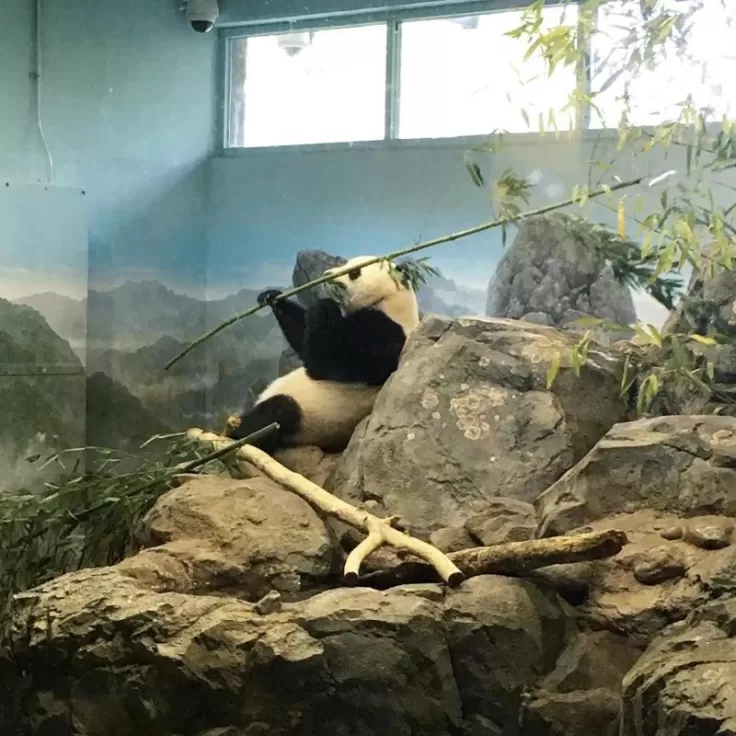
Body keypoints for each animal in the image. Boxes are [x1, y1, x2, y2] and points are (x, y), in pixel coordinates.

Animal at [224, 255, 421, 453]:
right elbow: (303, 339)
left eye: (354, 272)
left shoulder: (384, 333)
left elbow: (327, 362)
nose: (327, 275)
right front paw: (272, 297)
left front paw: (325, 304)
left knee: (280, 412)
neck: (391, 301)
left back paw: (236, 432)